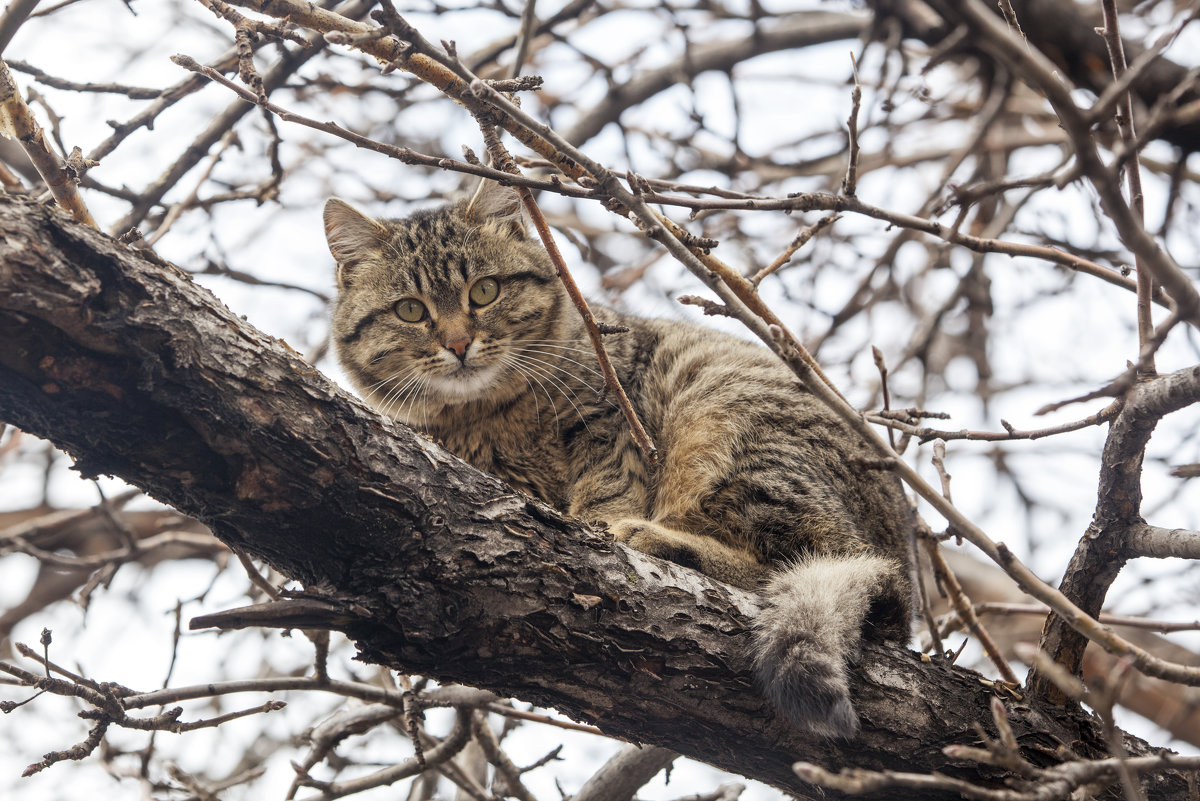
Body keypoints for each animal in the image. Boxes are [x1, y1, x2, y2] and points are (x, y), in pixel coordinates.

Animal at [324, 179, 912, 738]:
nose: (459, 343)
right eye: (411, 310)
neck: (485, 417)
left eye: (484, 291)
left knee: (801, 557)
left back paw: (659, 540)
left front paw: (598, 526)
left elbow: (607, 485)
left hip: (728, 424)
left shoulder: (608, 416)